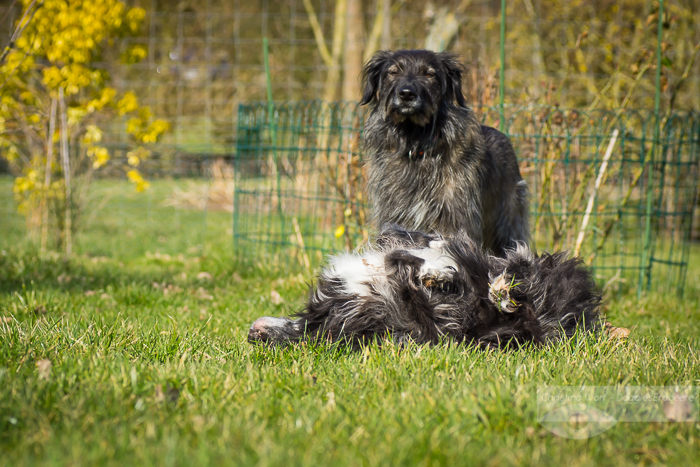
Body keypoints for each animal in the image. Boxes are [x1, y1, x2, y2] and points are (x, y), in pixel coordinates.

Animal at [360, 49, 532, 256]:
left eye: (429, 74)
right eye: (393, 72)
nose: (407, 94)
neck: (416, 145)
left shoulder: (457, 222)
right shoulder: (393, 215)